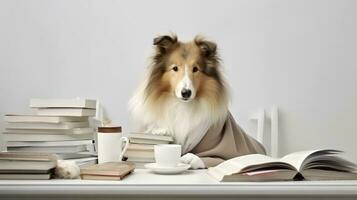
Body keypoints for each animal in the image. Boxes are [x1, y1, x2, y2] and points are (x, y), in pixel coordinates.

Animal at [130, 34, 264, 169]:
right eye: (175, 68)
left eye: (195, 69)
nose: (186, 93)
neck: (183, 106)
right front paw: (159, 131)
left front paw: (189, 158)